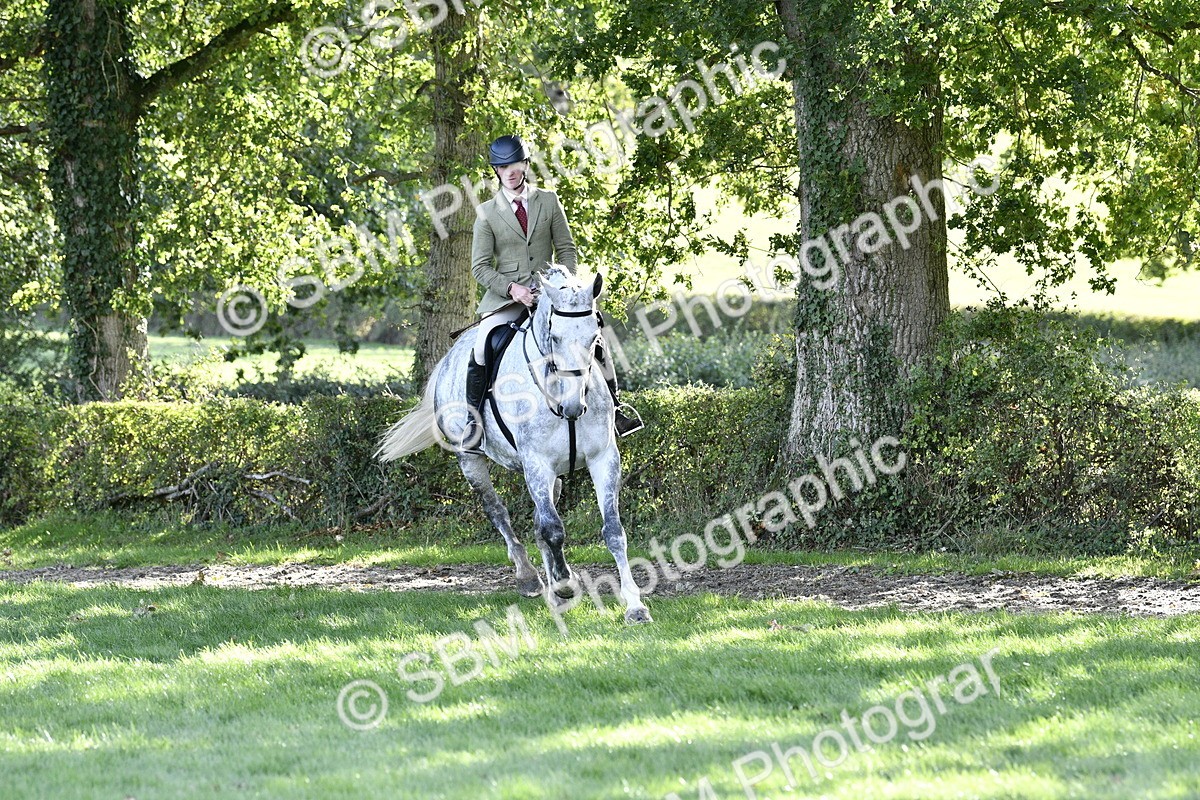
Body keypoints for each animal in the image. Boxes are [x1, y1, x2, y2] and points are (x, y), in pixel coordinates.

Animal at [375, 266, 651, 624]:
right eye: (554, 337)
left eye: (595, 339)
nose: (573, 407)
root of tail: (449, 358)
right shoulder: (537, 463)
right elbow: (553, 529)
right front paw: (564, 584)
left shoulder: (603, 458)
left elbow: (613, 531)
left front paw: (634, 605)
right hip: (471, 459)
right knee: (499, 512)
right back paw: (531, 578)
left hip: (550, 474)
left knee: (539, 519)